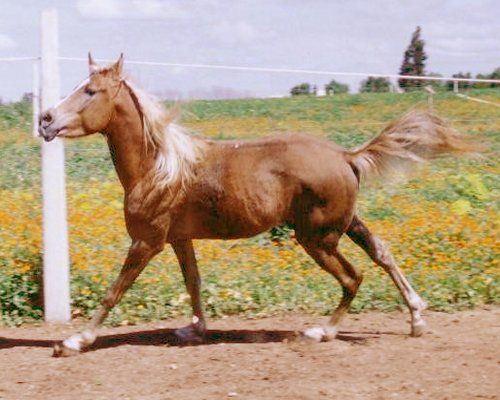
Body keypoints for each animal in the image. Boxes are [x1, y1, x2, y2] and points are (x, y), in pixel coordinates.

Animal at [39, 54, 476, 356]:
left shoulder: (147, 242)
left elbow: (115, 290)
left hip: (317, 238)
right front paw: (194, 329)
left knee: (353, 278)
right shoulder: (180, 239)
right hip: (345, 224)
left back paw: (321, 332)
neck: (159, 167)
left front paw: (75, 340)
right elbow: (193, 282)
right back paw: (416, 317)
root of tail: (346, 156)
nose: (45, 119)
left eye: (90, 91)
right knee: (382, 252)